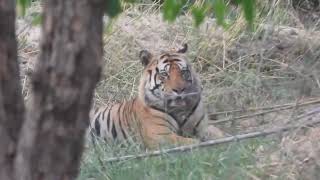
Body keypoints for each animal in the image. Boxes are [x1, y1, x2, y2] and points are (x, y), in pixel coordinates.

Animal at [90, 44, 224, 149]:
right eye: (164, 74)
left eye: (183, 72)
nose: (179, 90)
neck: (179, 111)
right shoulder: (160, 136)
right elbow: (192, 142)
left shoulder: (202, 126)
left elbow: (219, 133)